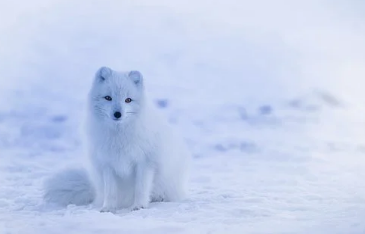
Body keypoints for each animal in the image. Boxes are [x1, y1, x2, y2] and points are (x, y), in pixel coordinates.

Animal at [44, 66, 189, 212]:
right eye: (108, 98)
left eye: (128, 100)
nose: (118, 114)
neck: (119, 136)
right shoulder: (107, 164)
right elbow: (110, 191)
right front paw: (108, 208)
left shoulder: (145, 162)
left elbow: (141, 188)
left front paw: (139, 206)